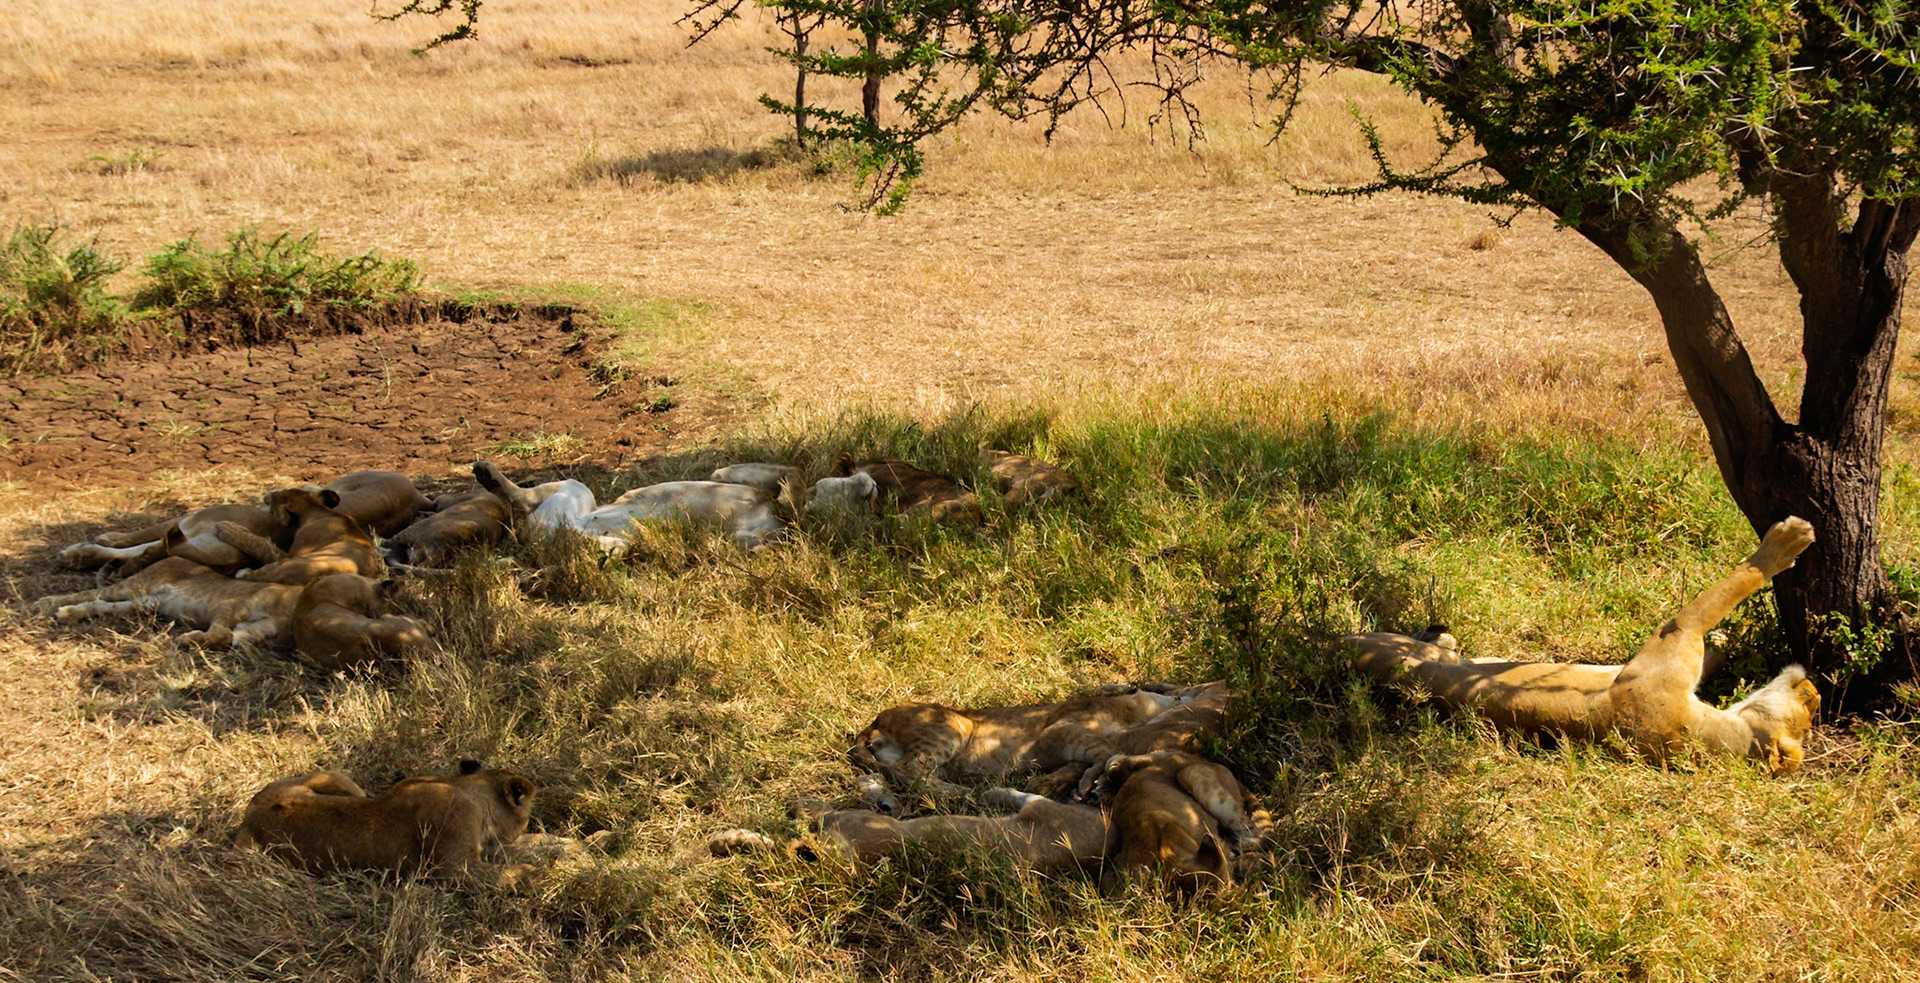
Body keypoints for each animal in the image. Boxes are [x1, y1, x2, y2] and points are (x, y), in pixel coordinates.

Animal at [233, 760, 536, 878]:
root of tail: (249, 814)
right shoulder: (454, 869)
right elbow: (506, 874)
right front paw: (536, 873)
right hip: (248, 854)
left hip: (336, 777)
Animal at [1344, 516, 1821, 775]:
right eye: (1810, 706)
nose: (1812, 684)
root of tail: (1338, 648)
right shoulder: (1677, 637)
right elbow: (1725, 593)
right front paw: (1787, 542)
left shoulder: (1674, 639)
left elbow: (1722, 593)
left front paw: (1785, 542)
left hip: (1415, 651)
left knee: (1441, 645)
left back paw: (1440, 631)